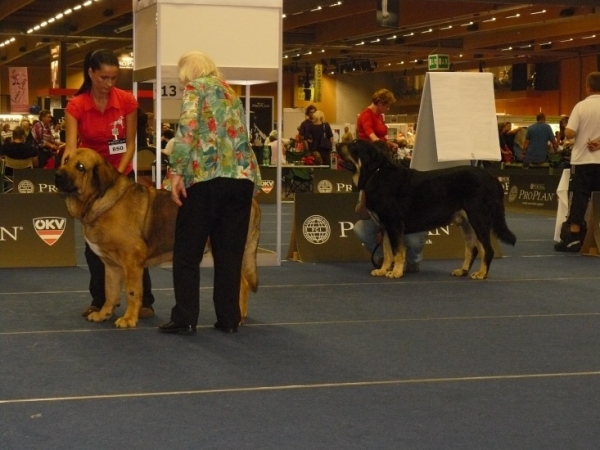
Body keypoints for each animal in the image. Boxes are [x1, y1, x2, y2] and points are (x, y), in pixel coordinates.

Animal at [56, 148, 260, 326]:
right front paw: (103, 314)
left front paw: (129, 319)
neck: (98, 200)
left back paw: (239, 316)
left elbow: (132, 292)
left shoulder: (132, 261)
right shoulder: (112, 266)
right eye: (66, 160)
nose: (57, 175)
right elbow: (111, 292)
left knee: (242, 284)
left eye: (80, 167)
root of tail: (253, 201)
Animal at [338, 139, 516, 280]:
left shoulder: (394, 224)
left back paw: (481, 274)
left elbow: (397, 252)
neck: (376, 173)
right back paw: (463, 270)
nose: (338, 144)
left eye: (354, 145)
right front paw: (382, 270)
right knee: (472, 250)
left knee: (487, 250)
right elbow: (388, 252)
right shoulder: (385, 227)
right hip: (468, 223)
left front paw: (395, 272)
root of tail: (493, 179)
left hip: (478, 219)